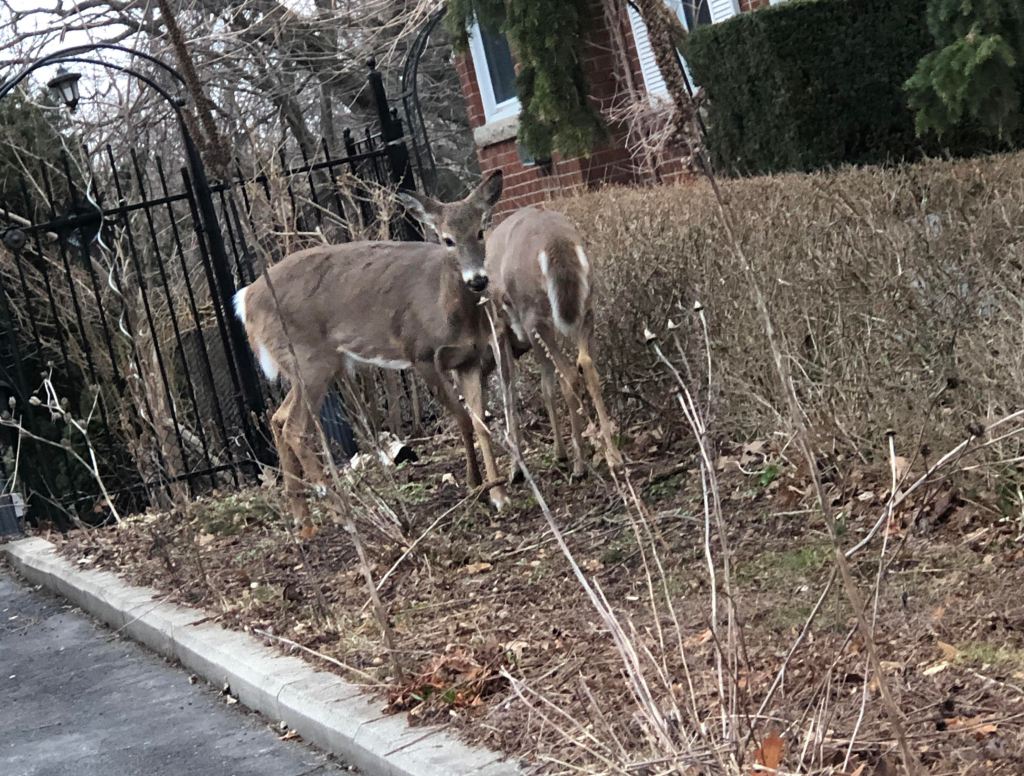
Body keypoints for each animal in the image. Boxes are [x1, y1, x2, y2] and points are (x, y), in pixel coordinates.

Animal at [233, 171, 510, 527]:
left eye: (480, 230)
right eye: (447, 239)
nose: (477, 280)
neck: (448, 309)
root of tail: (245, 300)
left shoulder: (470, 359)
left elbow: (480, 423)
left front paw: (498, 495)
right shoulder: (419, 353)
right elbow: (462, 418)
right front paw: (475, 486)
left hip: (309, 366)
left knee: (278, 418)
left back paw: (303, 520)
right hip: (308, 360)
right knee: (294, 427)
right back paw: (339, 509)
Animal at [484, 206, 623, 478]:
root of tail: (556, 245)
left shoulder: (501, 333)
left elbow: (515, 389)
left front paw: (519, 467)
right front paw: (560, 452)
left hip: (535, 317)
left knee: (566, 375)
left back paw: (580, 464)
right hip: (586, 306)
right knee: (586, 364)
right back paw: (614, 456)